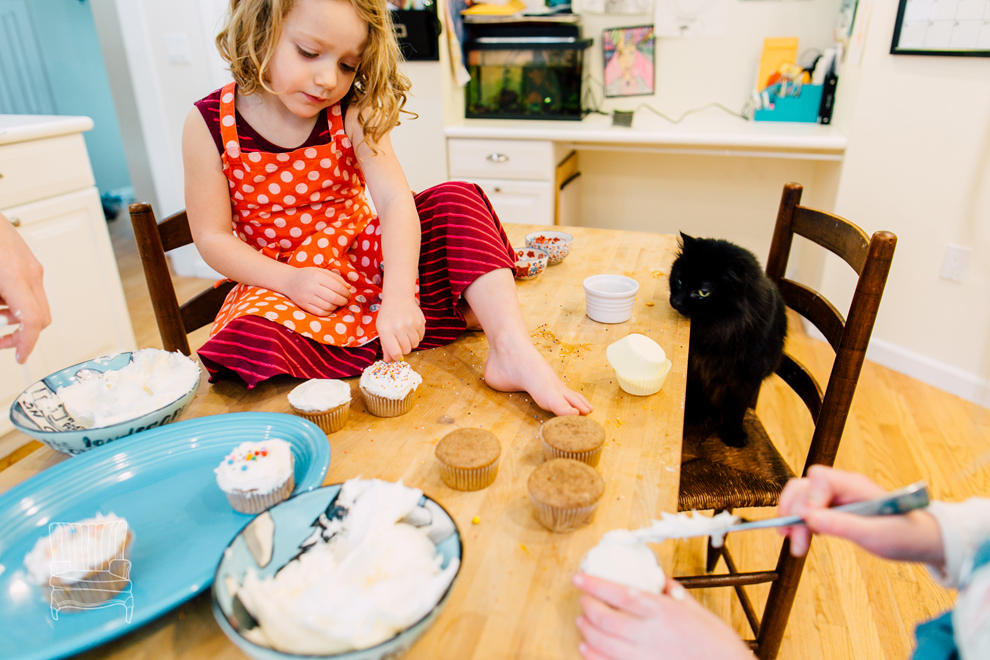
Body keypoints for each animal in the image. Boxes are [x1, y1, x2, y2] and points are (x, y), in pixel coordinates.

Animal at [672, 233, 788, 448]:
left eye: (703, 292)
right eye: (680, 280)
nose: (675, 302)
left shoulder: (747, 379)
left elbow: (736, 410)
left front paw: (733, 435)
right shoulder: (696, 371)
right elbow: (697, 396)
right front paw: (692, 416)